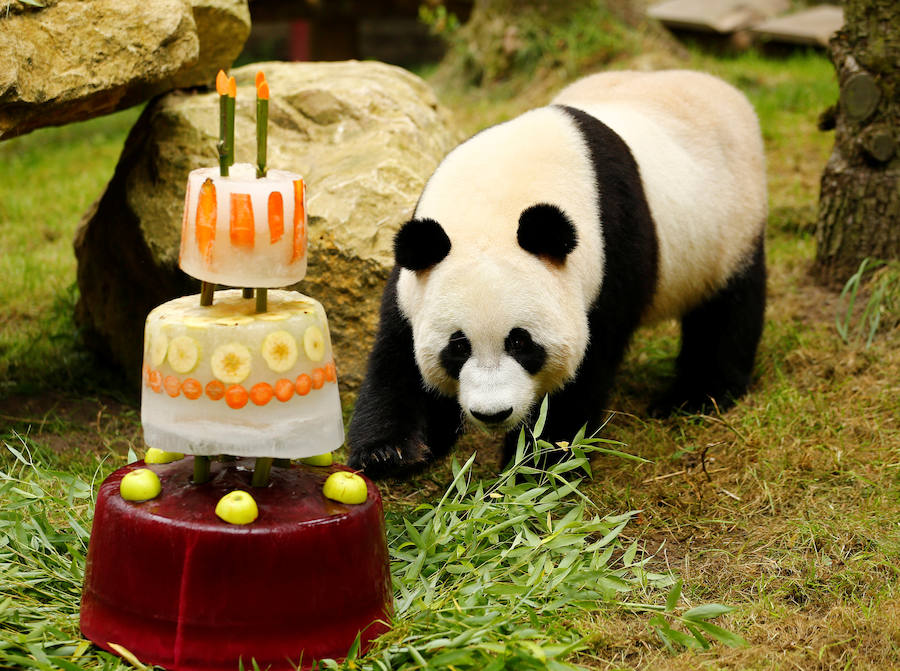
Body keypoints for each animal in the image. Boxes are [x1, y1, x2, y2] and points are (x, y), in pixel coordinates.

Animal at [344, 71, 768, 478]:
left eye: (520, 342)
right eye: (458, 347)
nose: (492, 413)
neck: (497, 198)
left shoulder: (608, 258)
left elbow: (583, 371)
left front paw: (536, 465)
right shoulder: (415, 275)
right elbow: (398, 356)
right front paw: (391, 452)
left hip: (731, 222)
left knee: (725, 311)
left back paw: (696, 396)